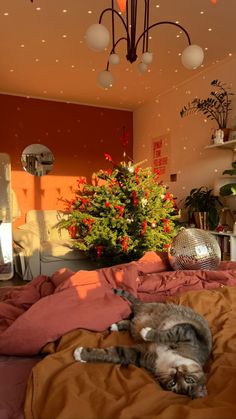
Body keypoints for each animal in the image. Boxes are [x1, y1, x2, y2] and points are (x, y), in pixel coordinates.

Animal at [74, 288, 212, 400]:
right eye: (189, 379)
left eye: (173, 383)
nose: (177, 372)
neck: (168, 360)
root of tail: (142, 306)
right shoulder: (188, 333)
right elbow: (169, 334)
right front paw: (147, 333)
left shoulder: (141, 355)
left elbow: (115, 354)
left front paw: (82, 354)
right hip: (154, 308)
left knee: (131, 322)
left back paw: (118, 326)